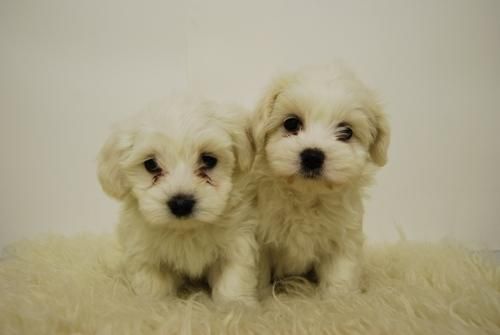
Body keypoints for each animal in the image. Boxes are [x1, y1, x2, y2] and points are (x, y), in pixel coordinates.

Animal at [96, 96, 258, 306]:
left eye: (209, 160)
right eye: (151, 164)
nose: (181, 204)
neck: (185, 231)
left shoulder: (236, 241)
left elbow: (234, 277)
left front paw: (235, 306)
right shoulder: (146, 253)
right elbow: (152, 285)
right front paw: (150, 304)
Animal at [254, 64, 390, 298]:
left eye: (346, 132)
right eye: (291, 123)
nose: (312, 156)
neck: (307, 197)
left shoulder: (343, 238)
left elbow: (340, 276)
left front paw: (338, 300)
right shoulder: (261, 239)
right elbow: (258, 274)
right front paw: (259, 298)